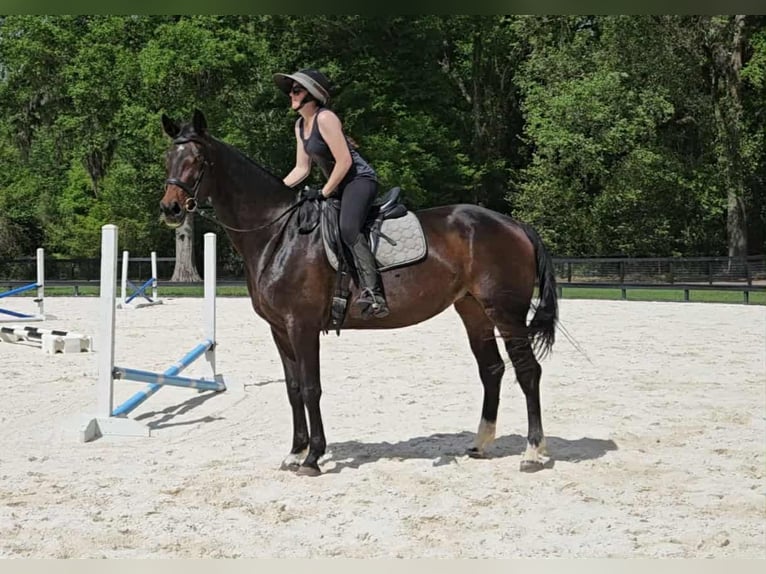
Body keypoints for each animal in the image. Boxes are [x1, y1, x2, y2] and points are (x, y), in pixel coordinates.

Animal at [160, 109, 559, 476]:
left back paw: (533, 452)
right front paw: (295, 452)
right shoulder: (279, 329)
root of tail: (513, 224)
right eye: (169, 158)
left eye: (197, 160)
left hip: (505, 312)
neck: (279, 234)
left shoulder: (302, 325)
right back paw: (480, 444)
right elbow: (292, 388)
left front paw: (313, 457)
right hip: (474, 310)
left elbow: (311, 387)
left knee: (528, 371)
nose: (170, 208)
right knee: (492, 369)